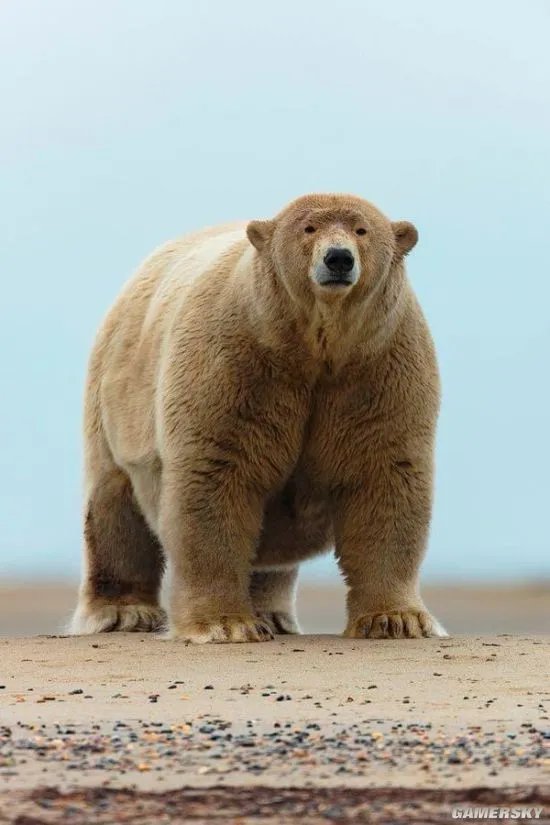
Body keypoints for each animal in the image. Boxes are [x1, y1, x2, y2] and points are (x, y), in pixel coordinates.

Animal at [70, 193, 447, 643]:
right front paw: (225, 624)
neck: (314, 346)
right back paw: (124, 613)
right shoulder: (236, 362)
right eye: (309, 228)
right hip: (116, 398)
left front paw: (397, 620)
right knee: (114, 504)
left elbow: (384, 477)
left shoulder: (379, 367)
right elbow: (217, 475)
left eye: (361, 229)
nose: (338, 259)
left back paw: (274, 614)